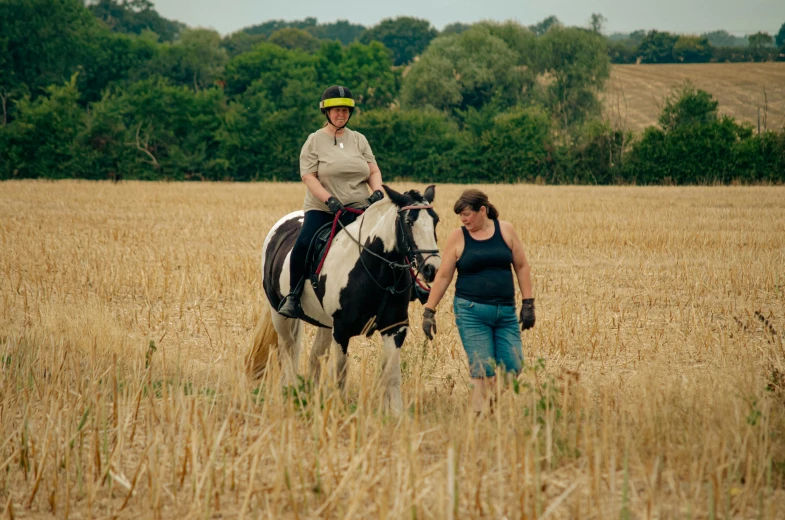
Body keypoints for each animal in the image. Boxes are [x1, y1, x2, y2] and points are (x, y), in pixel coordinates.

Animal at [247, 185, 440, 412]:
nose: (432, 269)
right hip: (280, 316)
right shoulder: (341, 330)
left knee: (315, 355)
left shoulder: (395, 328)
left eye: (435, 221)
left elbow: (392, 375)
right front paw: (338, 412)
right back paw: (291, 392)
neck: (374, 269)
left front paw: (396, 415)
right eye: (409, 222)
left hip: (323, 322)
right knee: (287, 352)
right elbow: (340, 375)